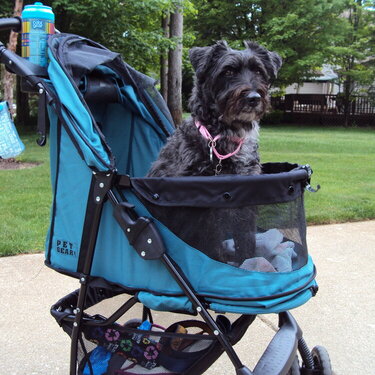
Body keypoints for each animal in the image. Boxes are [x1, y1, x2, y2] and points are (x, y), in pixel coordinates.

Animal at [147, 40, 282, 264]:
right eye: (227, 71)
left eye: (258, 70)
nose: (253, 97)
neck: (222, 137)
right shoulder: (200, 209)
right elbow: (210, 243)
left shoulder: (247, 200)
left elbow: (246, 238)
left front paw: (247, 262)